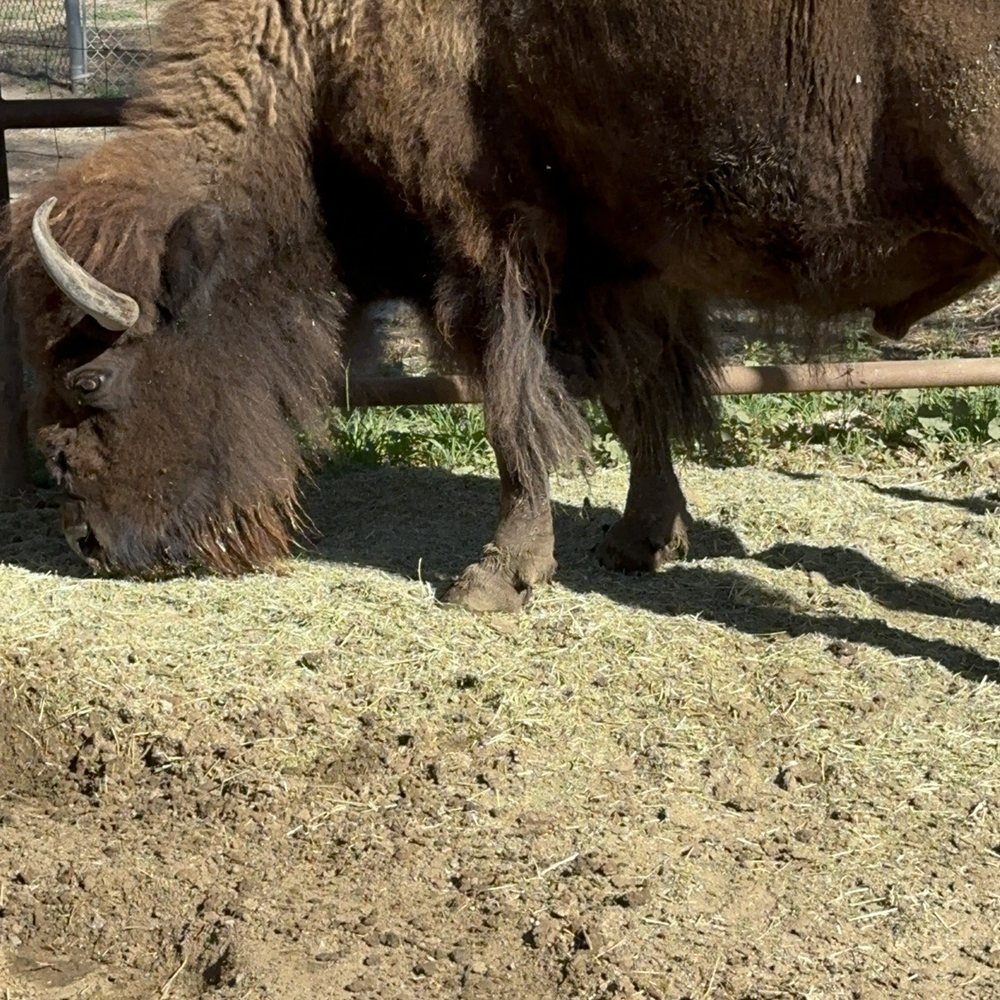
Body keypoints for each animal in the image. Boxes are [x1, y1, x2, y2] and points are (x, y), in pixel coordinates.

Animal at [8, 1, 1000, 610]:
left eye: (92, 379)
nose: (89, 543)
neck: (321, 42)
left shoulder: (485, 251)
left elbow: (512, 413)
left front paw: (492, 582)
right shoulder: (617, 263)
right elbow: (636, 401)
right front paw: (642, 541)